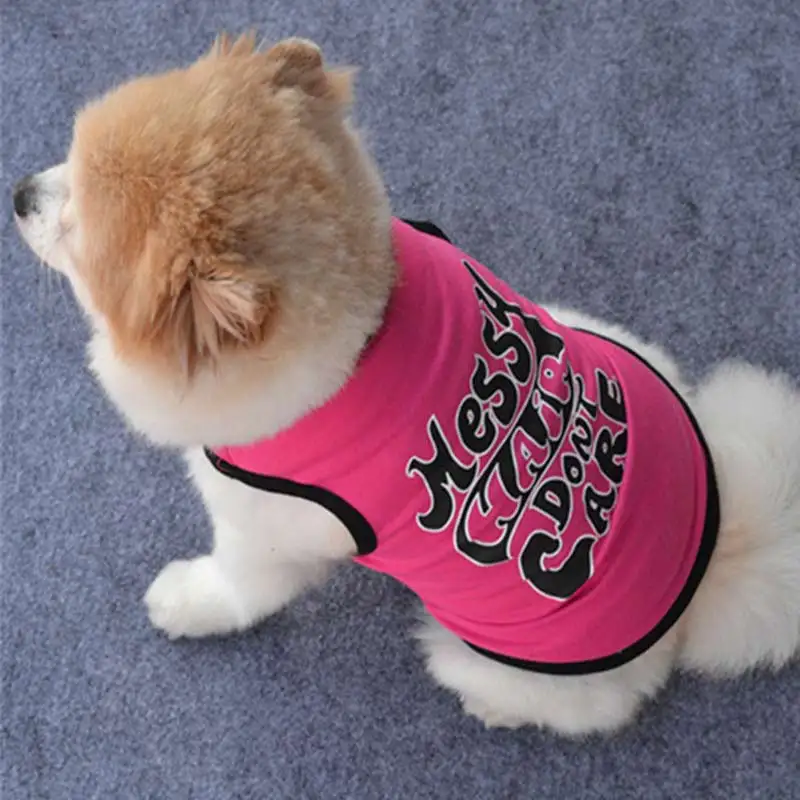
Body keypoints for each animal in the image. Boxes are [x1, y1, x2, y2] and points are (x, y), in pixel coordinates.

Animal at [13, 33, 800, 736]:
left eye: (77, 226)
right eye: (70, 156)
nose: (20, 193)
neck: (365, 334)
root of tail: (703, 573)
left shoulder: (263, 531)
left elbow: (237, 587)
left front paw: (185, 602)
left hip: (484, 658)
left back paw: (492, 709)